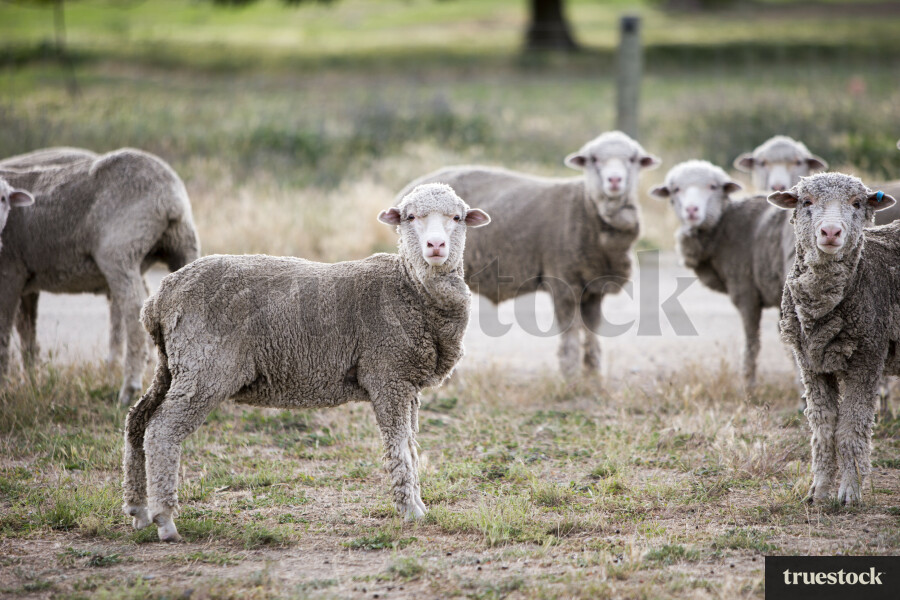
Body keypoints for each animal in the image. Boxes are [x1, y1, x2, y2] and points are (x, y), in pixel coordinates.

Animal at [0, 148, 200, 405]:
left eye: (4, 199)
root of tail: (168, 195)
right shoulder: (27, 278)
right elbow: (27, 332)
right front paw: (31, 379)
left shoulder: (11, 271)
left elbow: (4, 332)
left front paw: (5, 385)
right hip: (182, 243)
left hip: (118, 252)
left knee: (132, 309)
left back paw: (128, 387)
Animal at [121, 183, 490, 542]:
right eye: (410, 217)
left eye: (457, 218)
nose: (435, 245)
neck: (410, 286)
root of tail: (160, 298)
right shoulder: (389, 373)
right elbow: (399, 447)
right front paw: (411, 510)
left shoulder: (408, 383)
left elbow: (411, 445)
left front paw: (417, 504)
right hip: (204, 367)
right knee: (162, 430)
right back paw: (165, 520)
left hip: (172, 366)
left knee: (138, 420)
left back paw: (138, 510)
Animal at [398, 131, 660, 376]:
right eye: (593, 159)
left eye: (634, 159)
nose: (614, 180)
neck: (587, 208)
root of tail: (409, 189)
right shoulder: (563, 280)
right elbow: (570, 336)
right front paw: (572, 377)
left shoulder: (594, 287)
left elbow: (592, 333)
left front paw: (593, 376)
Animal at [650, 160, 792, 391]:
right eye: (675, 189)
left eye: (712, 187)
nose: (691, 210)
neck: (724, 225)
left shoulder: (745, 291)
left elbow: (752, 342)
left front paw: (748, 387)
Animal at [768, 173, 897, 505]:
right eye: (806, 201)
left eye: (857, 203)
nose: (830, 231)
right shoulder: (810, 363)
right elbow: (823, 428)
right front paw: (819, 491)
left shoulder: (868, 355)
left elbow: (850, 429)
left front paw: (850, 492)